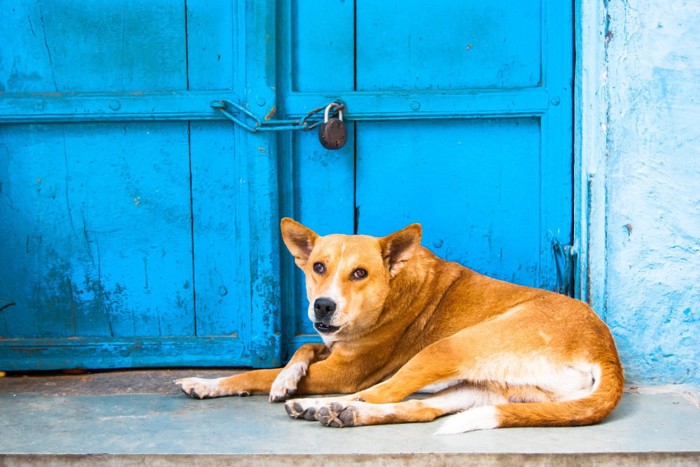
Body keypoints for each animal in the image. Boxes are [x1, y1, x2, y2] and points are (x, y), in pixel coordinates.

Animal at [175, 219, 624, 436]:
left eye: (359, 273)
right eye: (318, 266)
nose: (323, 305)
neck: (391, 288)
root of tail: (607, 354)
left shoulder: (344, 371)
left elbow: (259, 372)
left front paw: (269, 381)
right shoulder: (332, 347)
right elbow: (302, 349)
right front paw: (283, 376)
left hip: (448, 348)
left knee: (381, 392)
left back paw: (325, 406)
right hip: (483, 388)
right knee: (419, 409)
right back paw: (337, 412)